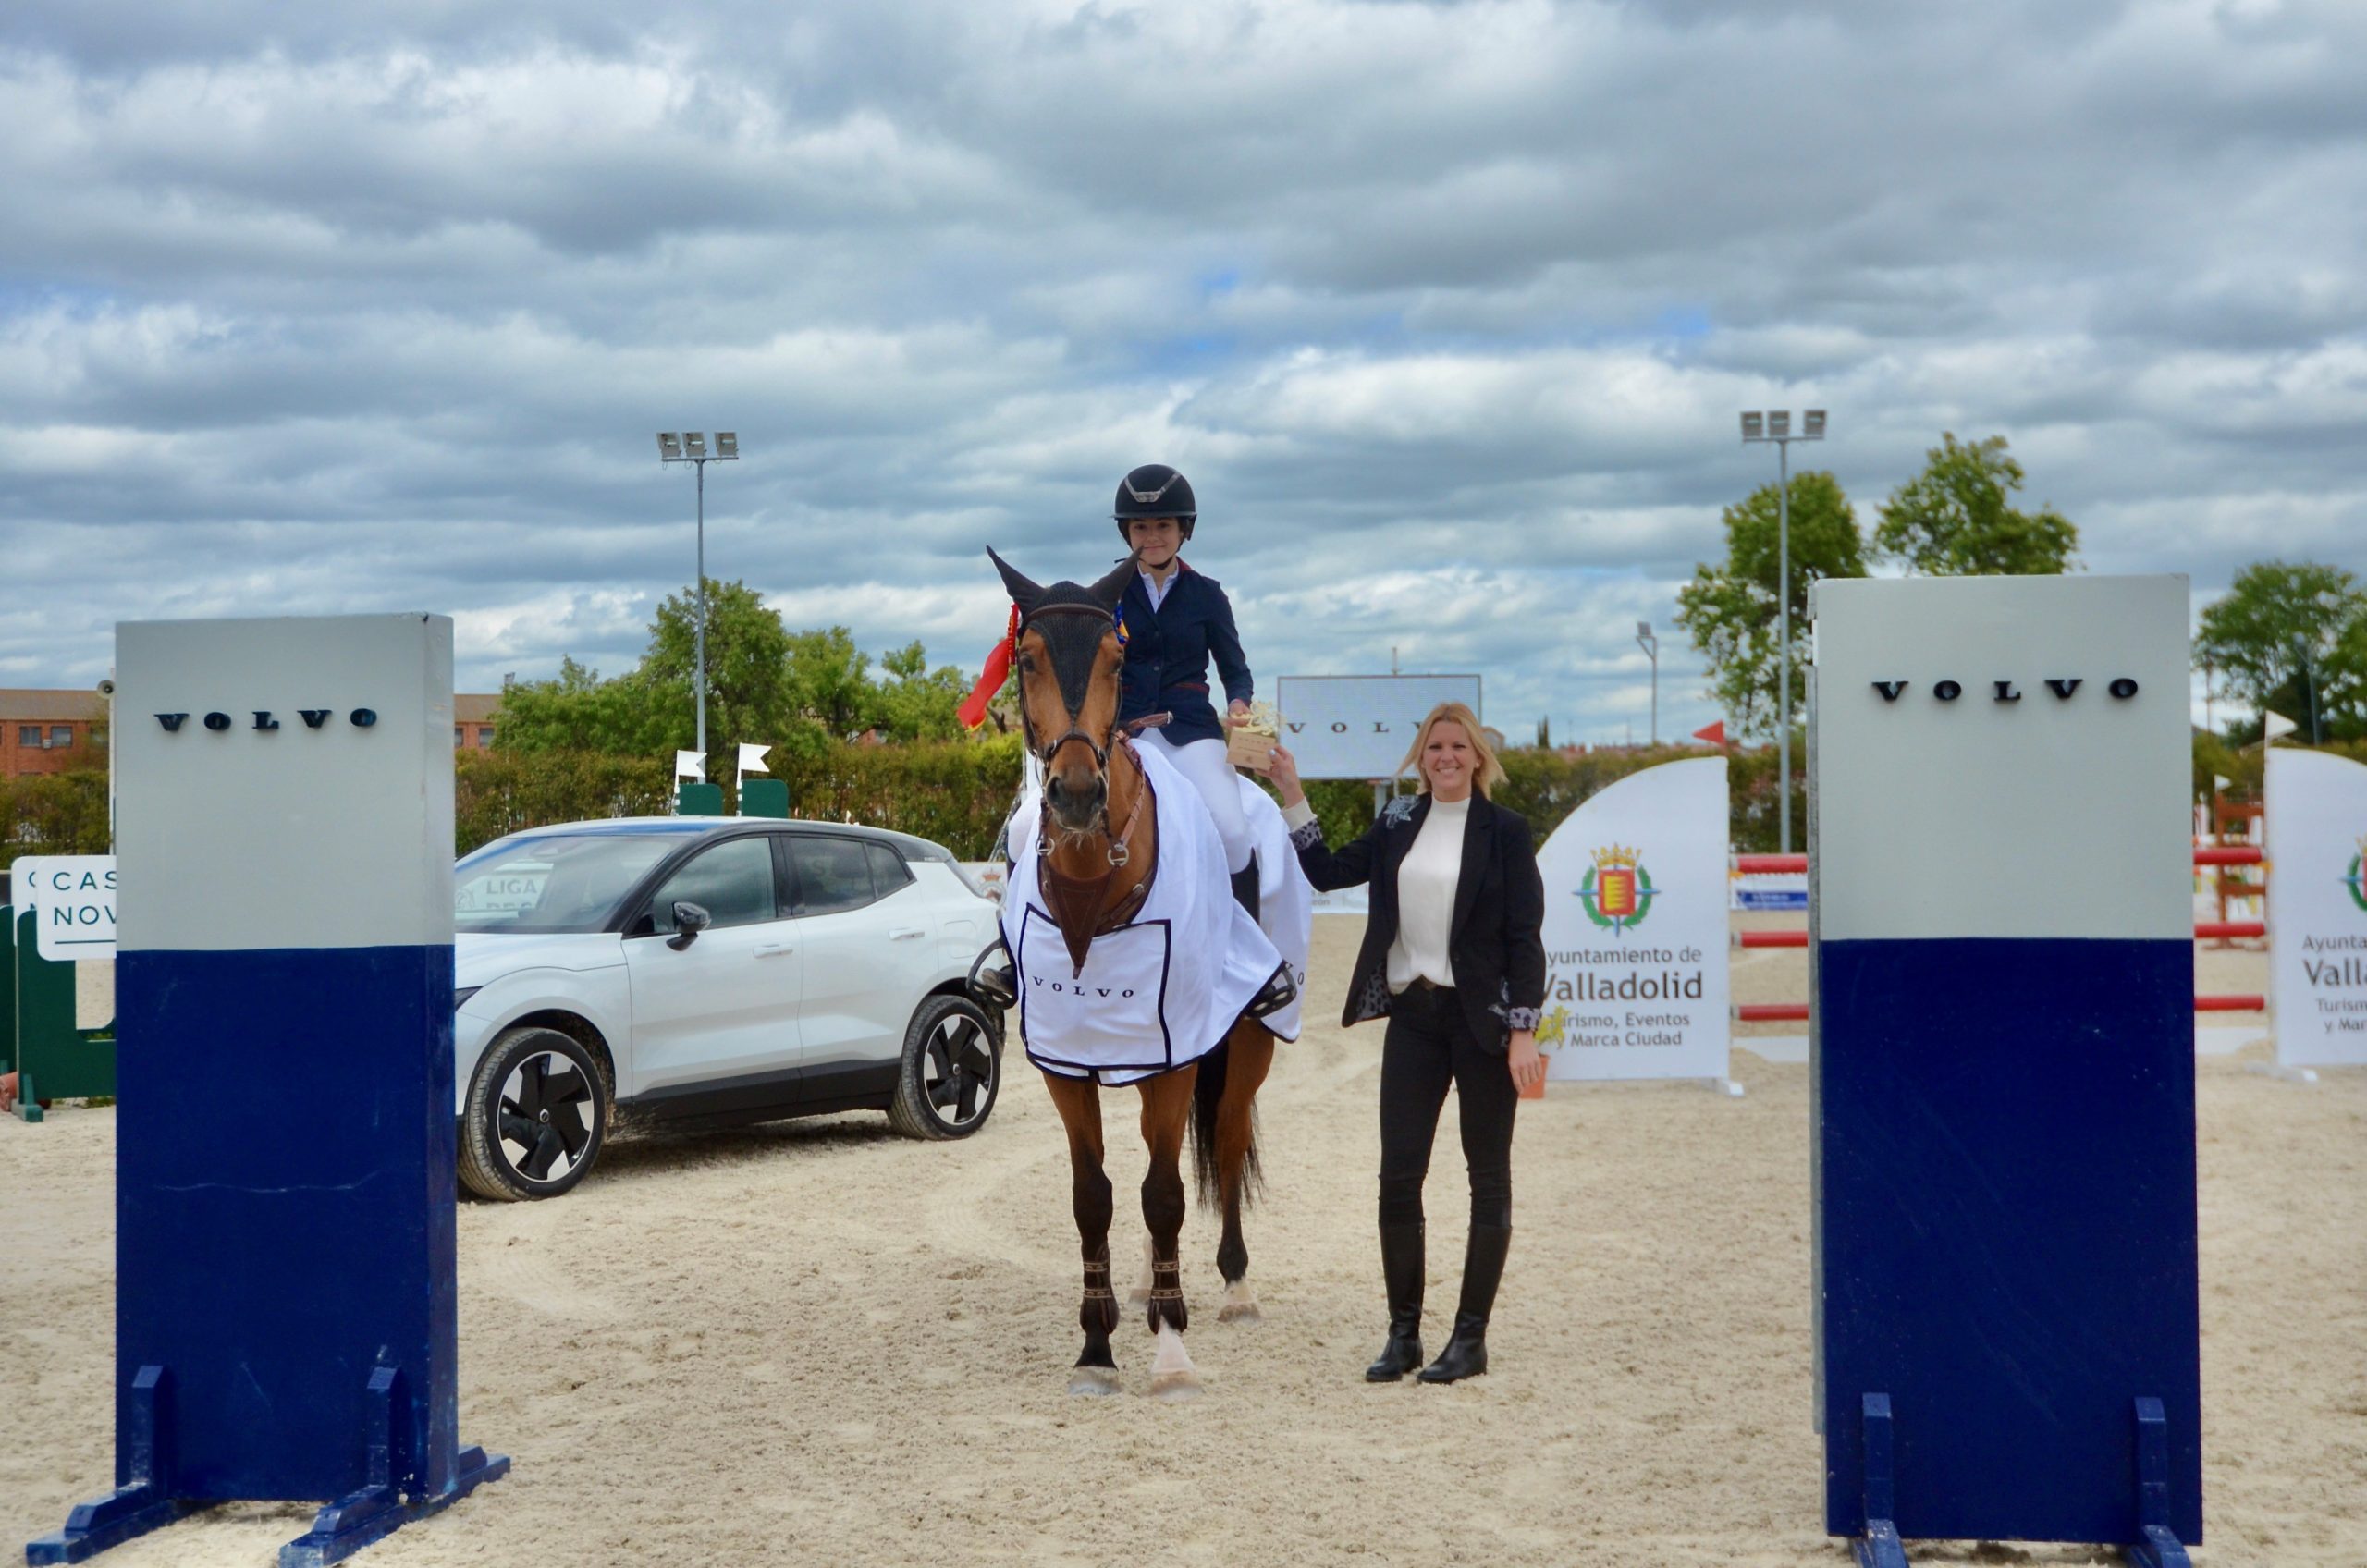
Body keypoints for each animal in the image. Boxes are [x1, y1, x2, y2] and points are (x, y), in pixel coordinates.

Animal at [979, 549, 1287, 1402]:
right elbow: (1094, 1198)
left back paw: (1230, 1287)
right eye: (1026, 659)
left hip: (1247, 1045)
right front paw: (1096, 1346)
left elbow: (1164, 1194)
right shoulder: (1063, 1063)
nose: (1078, 795)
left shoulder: (1173, 1060)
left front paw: (1171, 1350)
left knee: (1226, 1134)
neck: (1093, 885)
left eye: (1115, 661)